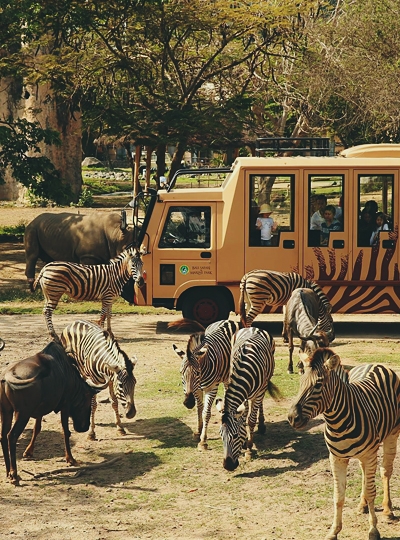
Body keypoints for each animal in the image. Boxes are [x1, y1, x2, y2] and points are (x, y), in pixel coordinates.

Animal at [171, 318, 239, 450]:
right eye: (181, 373)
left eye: (197, 373)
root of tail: (227, 320)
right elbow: (199, 409)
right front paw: (198, 432)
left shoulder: (211, 388)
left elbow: (206, 413)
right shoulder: (197, 389)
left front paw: (203, 441)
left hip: (229, 374)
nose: (188, 403)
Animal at [214, 326, 280, 470]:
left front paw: (249, 449)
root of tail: (253, 327)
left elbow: (251, 420)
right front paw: (245, 442)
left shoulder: (259, 392)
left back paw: (261, 425)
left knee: (259, 405)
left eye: (235, 436)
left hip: (265, 383)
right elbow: (243, 417)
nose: (228, 466)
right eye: (221, 435)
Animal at [288, 348, 400, 540]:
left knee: (385, 471)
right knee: (365, 473)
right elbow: (338, 496)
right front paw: (333, 531)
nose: (292, 418)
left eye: (318, 385)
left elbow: (372, 492)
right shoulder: (336, 458)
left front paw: (373, 530)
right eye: (301, 382)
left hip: (391, 435)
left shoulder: (369, 454)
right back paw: (362, 505)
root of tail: (376, 364)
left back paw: (387, 510)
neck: (338, 423)